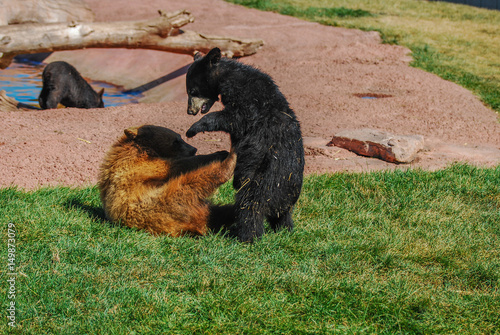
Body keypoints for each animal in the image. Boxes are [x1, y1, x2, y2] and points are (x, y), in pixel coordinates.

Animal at [100, 124, 238, 238]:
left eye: (180, 137)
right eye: (176, 140)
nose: (193, 149)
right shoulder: (136, 165)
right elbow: (175, 165)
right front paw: (218, 153)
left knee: (217, 212)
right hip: (161, 202)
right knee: (193, 183)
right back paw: (230, 159)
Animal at [186, 47, 304, 243]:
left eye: (192, 90)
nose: (190, 111)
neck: (229, 76)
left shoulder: (248, 99)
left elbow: (236, 118)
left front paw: (193, 128)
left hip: (264, 181)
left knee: (250, 206)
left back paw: (245, 237)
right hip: (286, 195)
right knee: (282, 216)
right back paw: (284, 230)